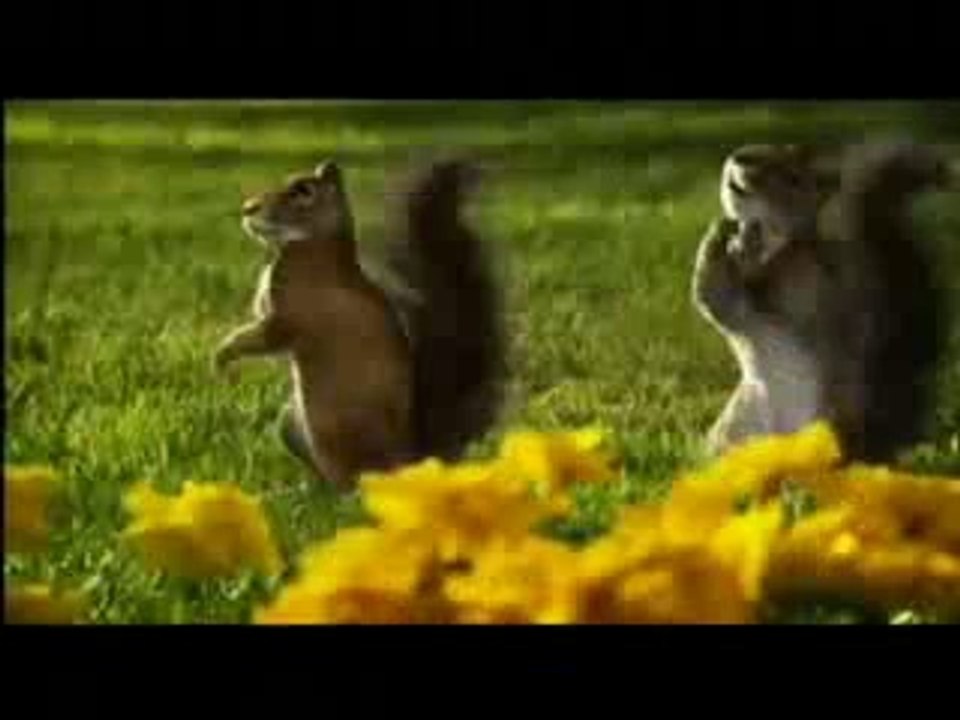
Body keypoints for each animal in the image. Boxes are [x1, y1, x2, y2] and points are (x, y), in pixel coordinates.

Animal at [213, 158, 506, 491]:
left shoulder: (292, 314)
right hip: (291, 424)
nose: (248, 208)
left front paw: (221, 357)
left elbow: (267, 337)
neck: (313, 243)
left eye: (303, 190)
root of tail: (407, 464)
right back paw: (300, 489)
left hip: (329, 430)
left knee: (348, 481)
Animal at [691, 139, 953, 464]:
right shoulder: (742, 306)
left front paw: (743, 240)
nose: (740, 157)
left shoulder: (814, 285)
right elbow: (717, 297)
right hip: (736, 429)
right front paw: (726, 232)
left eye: (792, 177)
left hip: (830, 429)